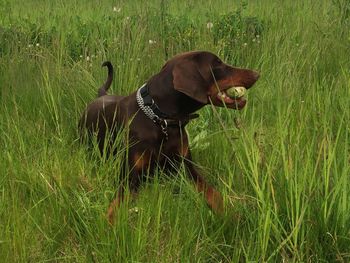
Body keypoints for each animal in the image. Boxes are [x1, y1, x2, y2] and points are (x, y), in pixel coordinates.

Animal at [80, 51, 260, 223]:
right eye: (217, 64)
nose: (257, 74)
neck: (162, 120)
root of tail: (100, 96)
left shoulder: (187, 168)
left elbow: (212, 193)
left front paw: (233, 215)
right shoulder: (130, 177)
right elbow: (117, 204)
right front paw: (109, 223)